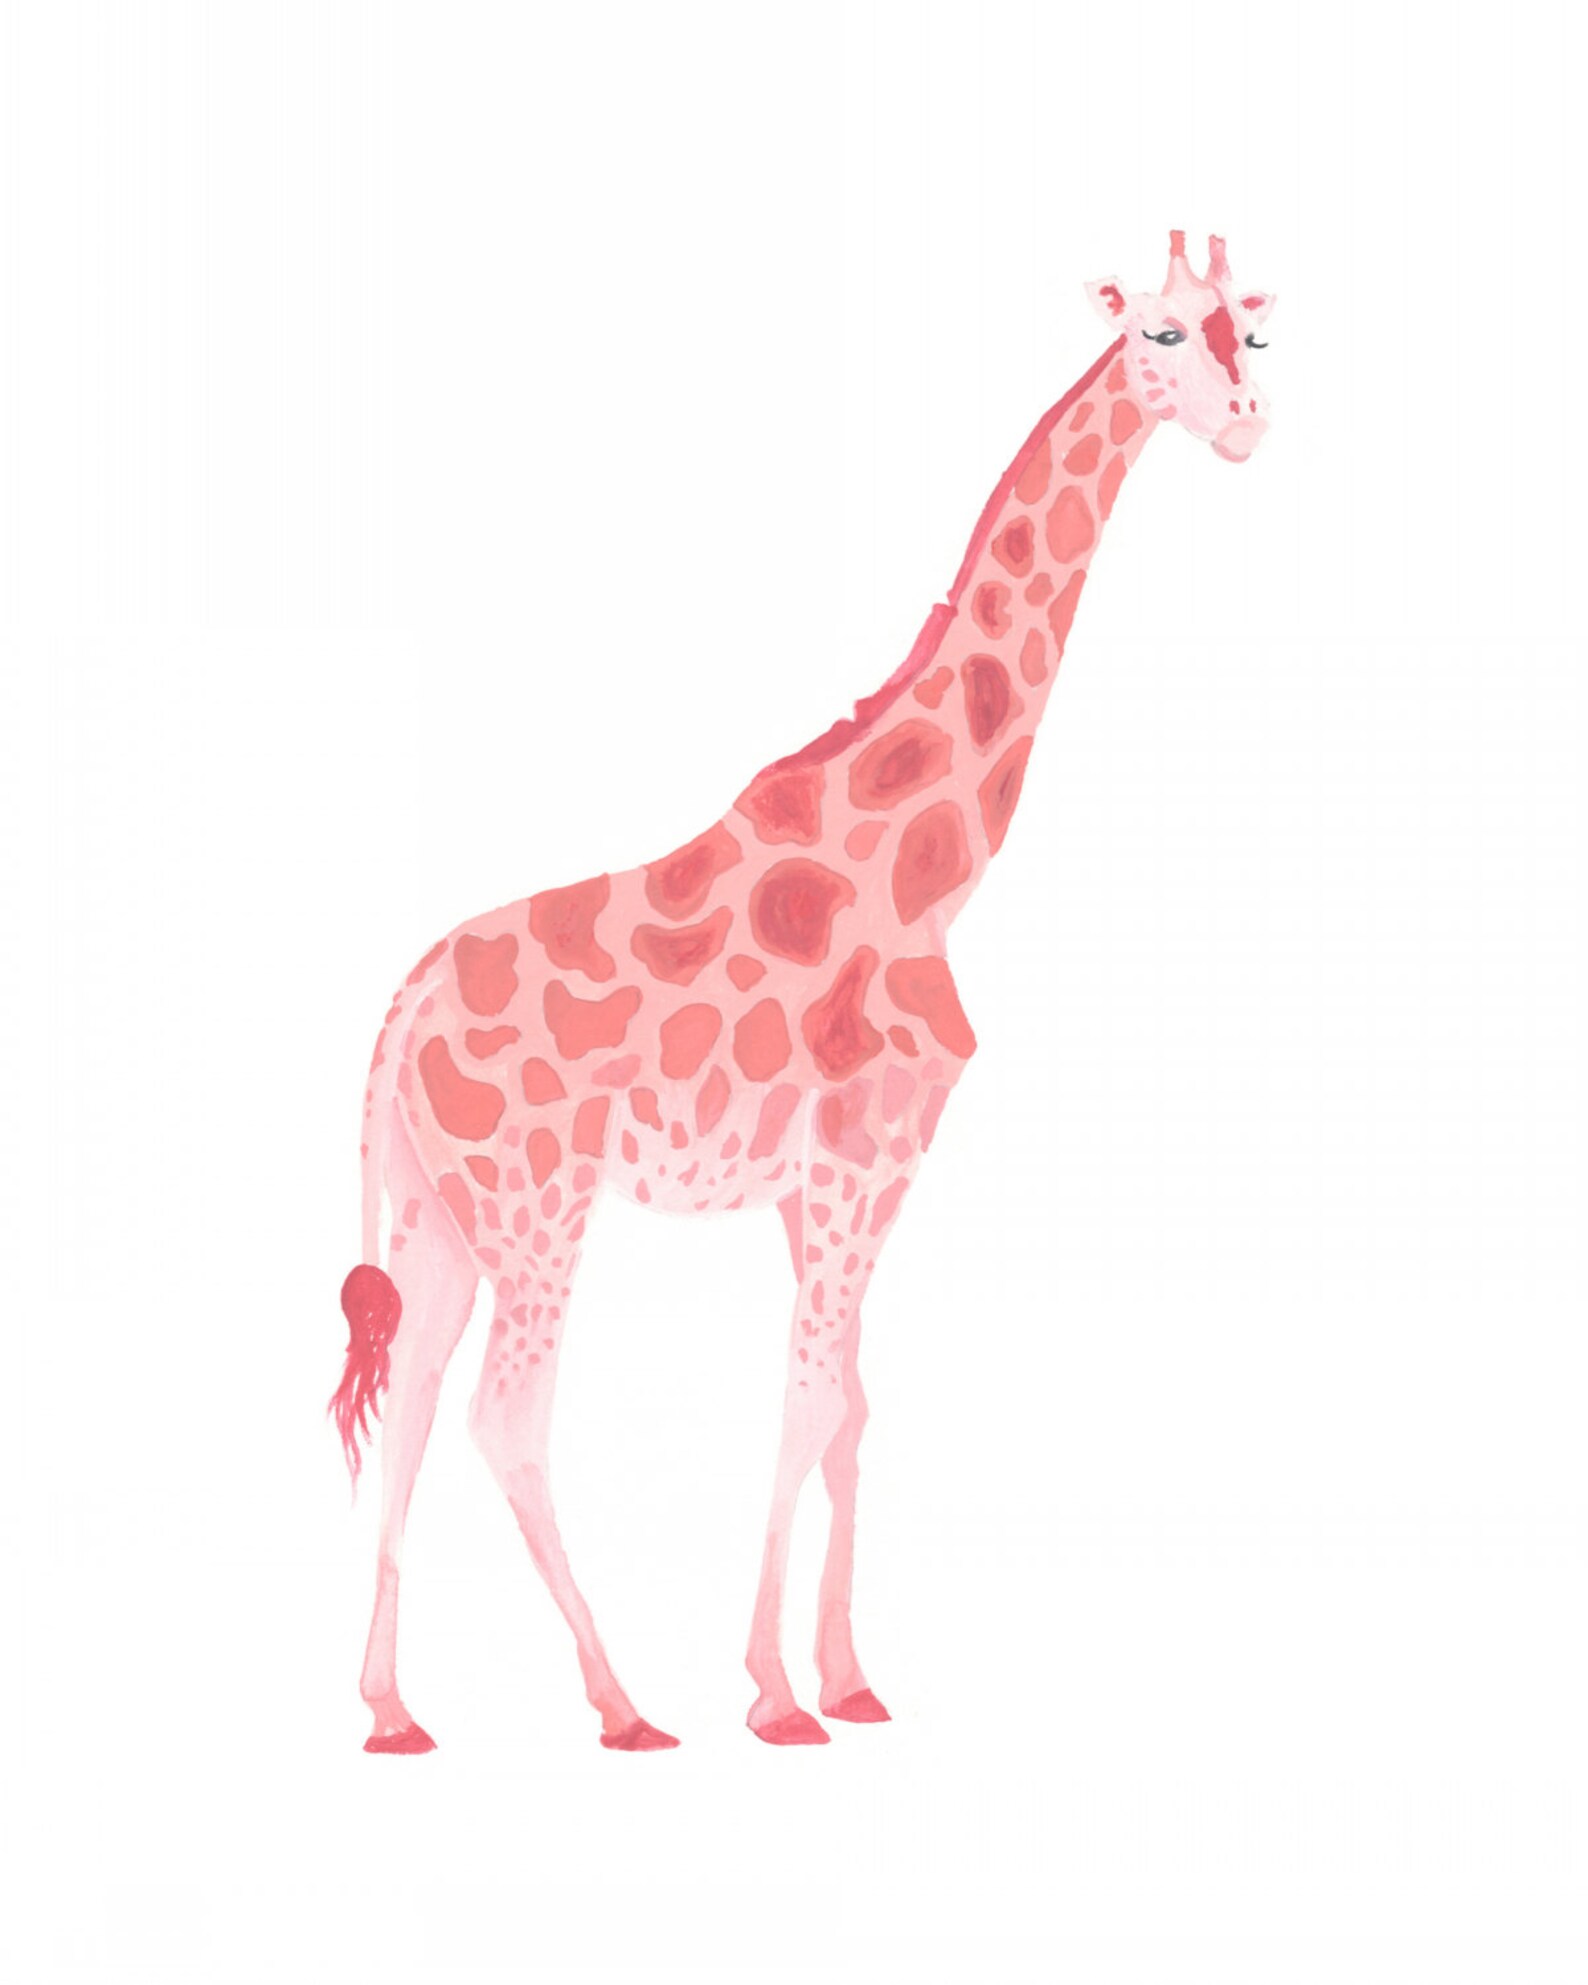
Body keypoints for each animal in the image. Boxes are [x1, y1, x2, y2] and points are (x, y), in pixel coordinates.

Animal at [331, 231, 1274, 1753]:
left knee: (410, 1402)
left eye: (1256, 331)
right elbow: (811, 1396)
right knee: (504, 1418)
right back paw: (622, 1703)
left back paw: (391, 1708)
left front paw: (846, 1674)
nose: (1246, 425)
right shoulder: (856, 1165)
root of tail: (399, 1008)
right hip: (537, 1204)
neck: (933, 870)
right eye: (1164, 333)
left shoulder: (842, 1179)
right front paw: (776, 1695)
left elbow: (853, 1406)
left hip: (436, 1210)